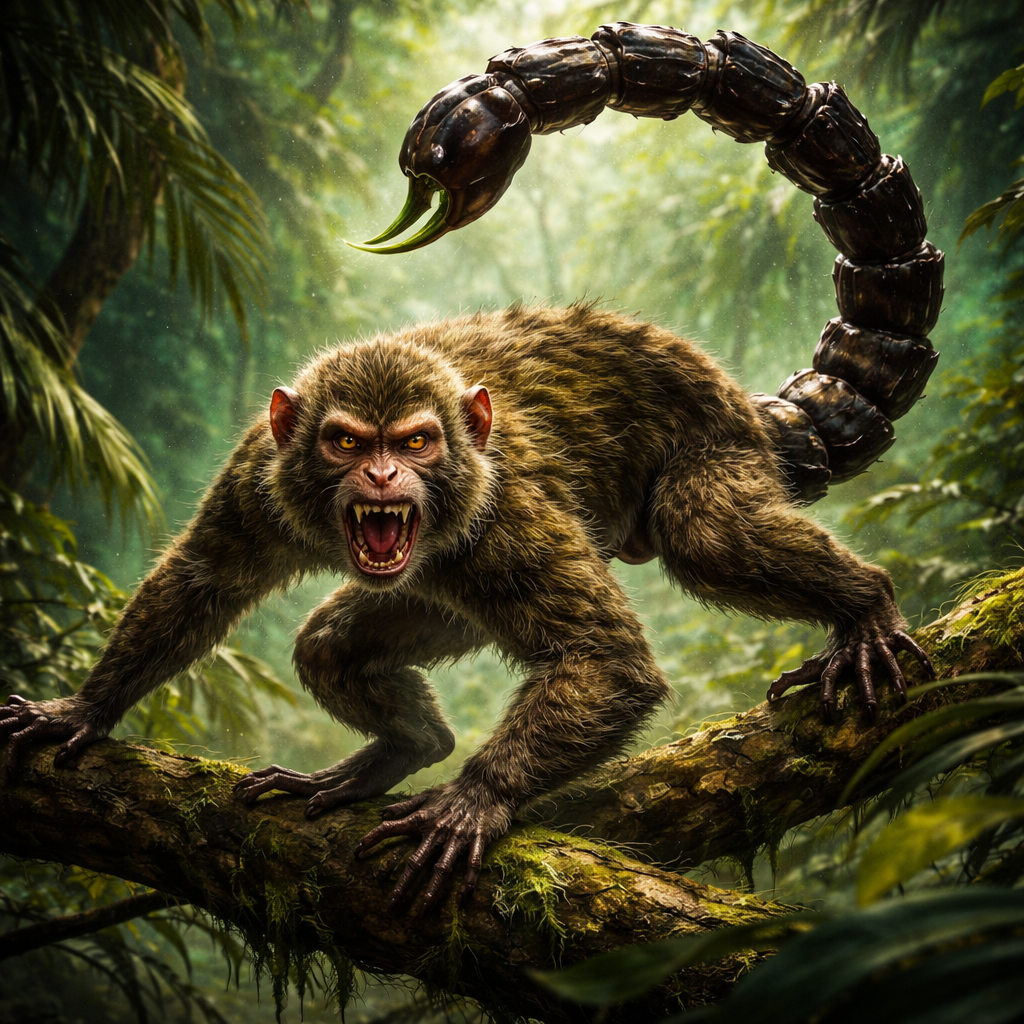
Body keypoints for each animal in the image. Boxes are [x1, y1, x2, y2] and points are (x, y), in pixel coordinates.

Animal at [0, 303, 934, 910]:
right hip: (443, 602)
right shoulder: (255, 476)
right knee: (329, 645)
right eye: (346, 441)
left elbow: (607, 659)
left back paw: (866, 609)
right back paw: (404, 749)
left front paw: (477, 798)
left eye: (416, 441)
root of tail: (744, 399)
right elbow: (202, 581)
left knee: (704, 532)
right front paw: (85, 707)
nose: (383, 476)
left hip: (714, 448)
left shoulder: (502, 507)